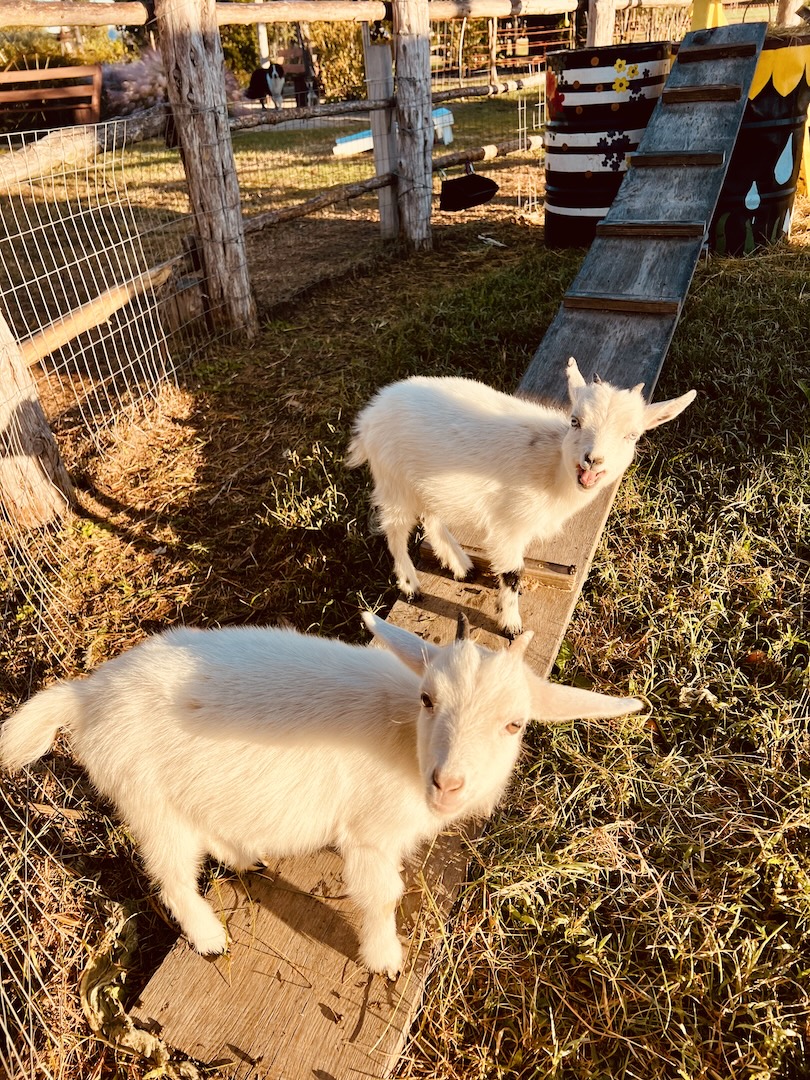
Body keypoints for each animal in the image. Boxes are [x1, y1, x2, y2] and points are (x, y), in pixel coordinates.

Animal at [0, 612, 641, 978]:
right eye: (428, 699)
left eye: (515, 724)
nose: (447, 784)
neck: (404, 738)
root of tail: (85, 696)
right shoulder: (370, 834)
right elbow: (381, 896)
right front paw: (385, 962)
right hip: (149, 802)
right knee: (173, 877)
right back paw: (210, 939)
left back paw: (243, 855)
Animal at [348, 358, 697, 637]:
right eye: (575, 421)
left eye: (632, 435)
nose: (592, 460)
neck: (553, 468)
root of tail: (370, 415)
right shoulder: (510, 523)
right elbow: (513, 573)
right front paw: (511, 625)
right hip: (394, 480)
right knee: (395, 530)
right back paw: (410, 585)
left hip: (429, 482)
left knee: (431, 517)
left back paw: (460, 565)